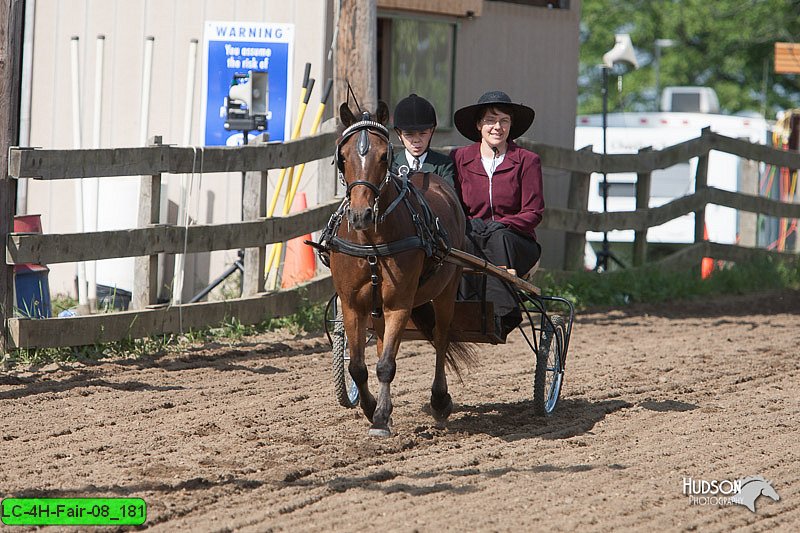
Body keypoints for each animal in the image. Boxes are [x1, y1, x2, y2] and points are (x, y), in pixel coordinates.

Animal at [326, 101, 476, 436]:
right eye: (343, 156)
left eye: (385, 155)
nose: (361, 215)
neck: (371, 242)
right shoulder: (353, 304)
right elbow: (357, 366)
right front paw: (372, 409)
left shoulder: (399, 304)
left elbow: (386, 364)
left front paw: (381, 418)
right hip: (376, 308)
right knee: (383, 342)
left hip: (446, 290)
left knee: (441, 338)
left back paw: (439, 400)